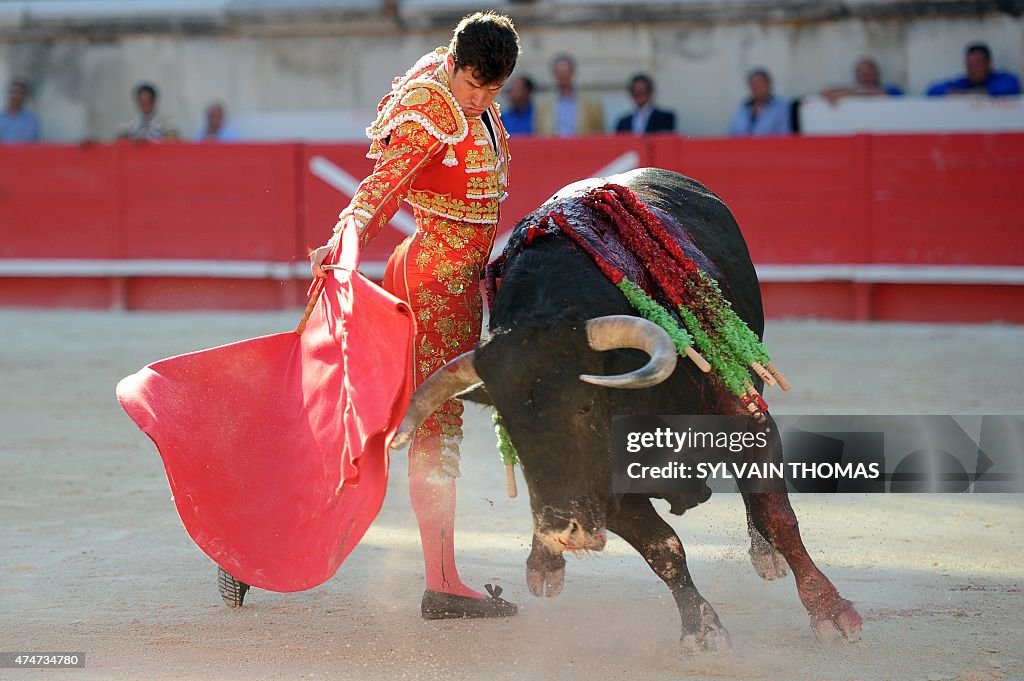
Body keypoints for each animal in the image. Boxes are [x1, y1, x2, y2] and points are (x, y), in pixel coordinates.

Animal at [391, 166, 864, 651]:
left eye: (584, 407)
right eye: (509, 427)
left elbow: (778, 516)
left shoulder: (744, 417)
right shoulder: (607, 488)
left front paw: (830, 611)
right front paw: (702, 628)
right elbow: (664, 548)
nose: (565, 529)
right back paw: (545, 564)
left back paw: (766, 557)